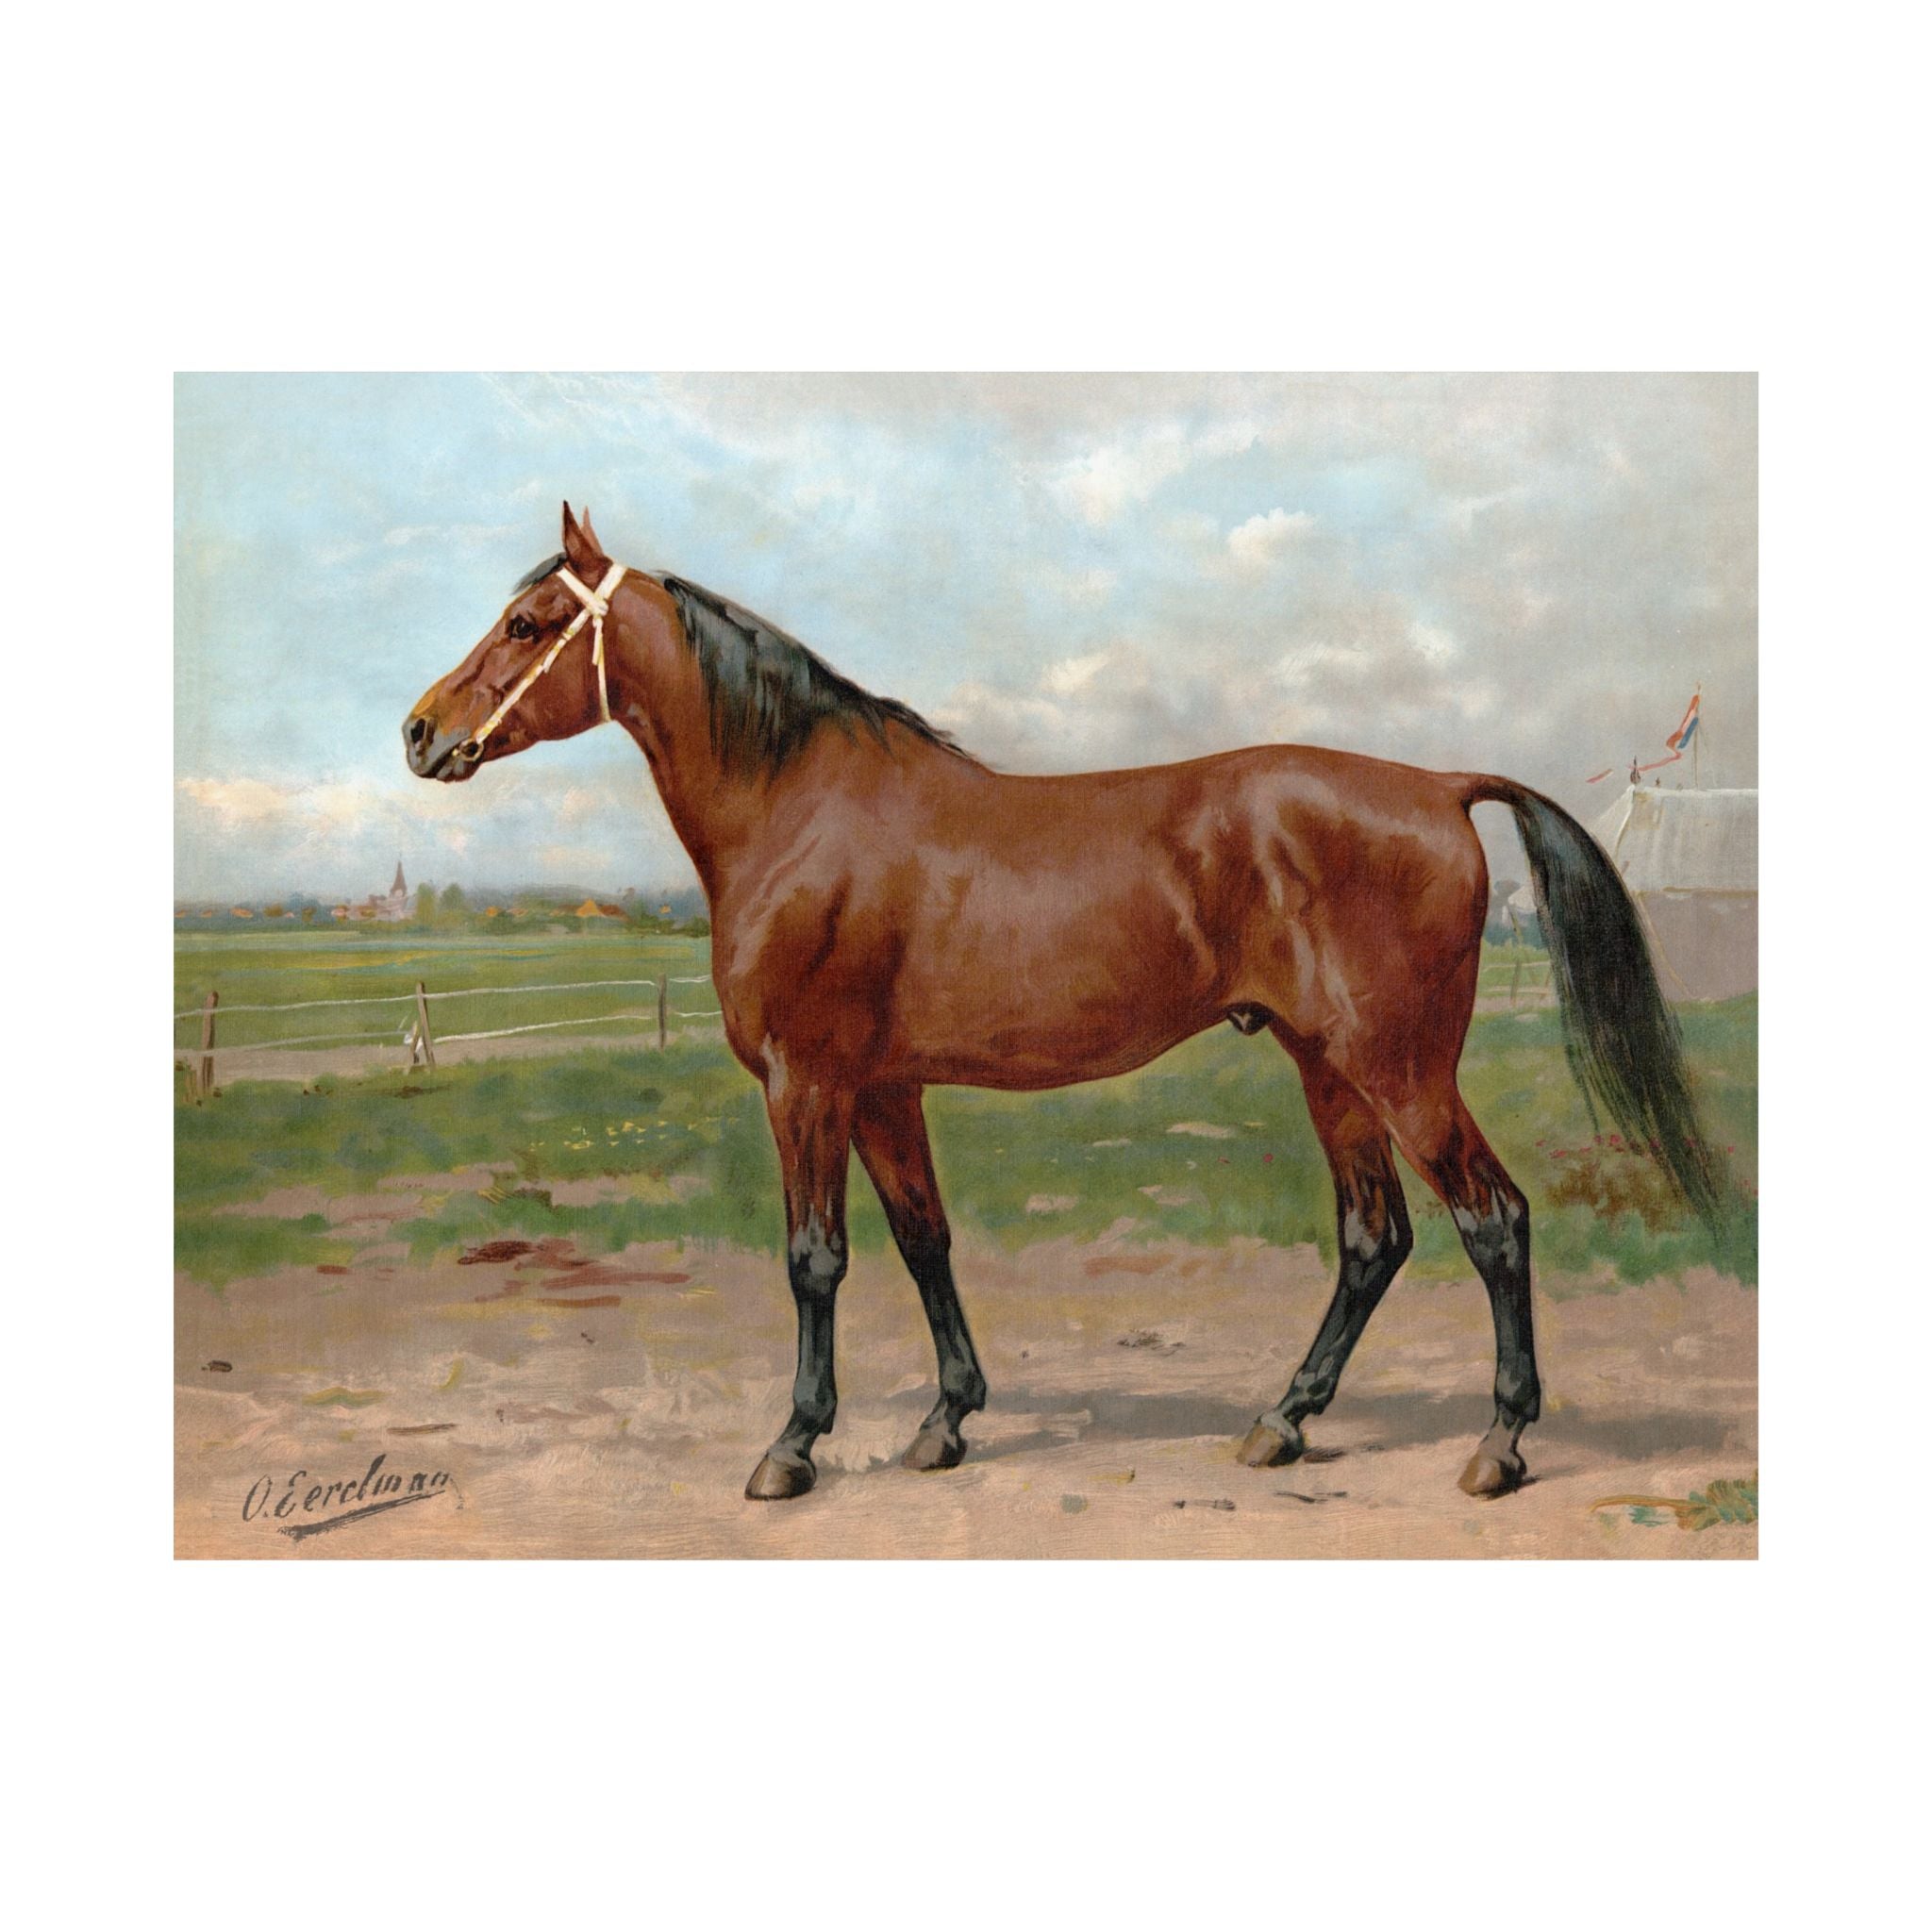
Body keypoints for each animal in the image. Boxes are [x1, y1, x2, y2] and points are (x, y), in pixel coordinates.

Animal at [405, 504, 1723, 1504]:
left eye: (526, 623)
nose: (420, 734)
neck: (797, 810)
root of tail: (1440, 787)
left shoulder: (806, 1083)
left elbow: (814, 1258)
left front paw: (792, 1445)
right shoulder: (883, 1087)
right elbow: (924, 1240)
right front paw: (943, 1423)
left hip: (1401, 1069)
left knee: (1491, 1222)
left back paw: (1498, 1444)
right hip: (1326, 1067)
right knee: (1373, 1238)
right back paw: (1282, 1421)